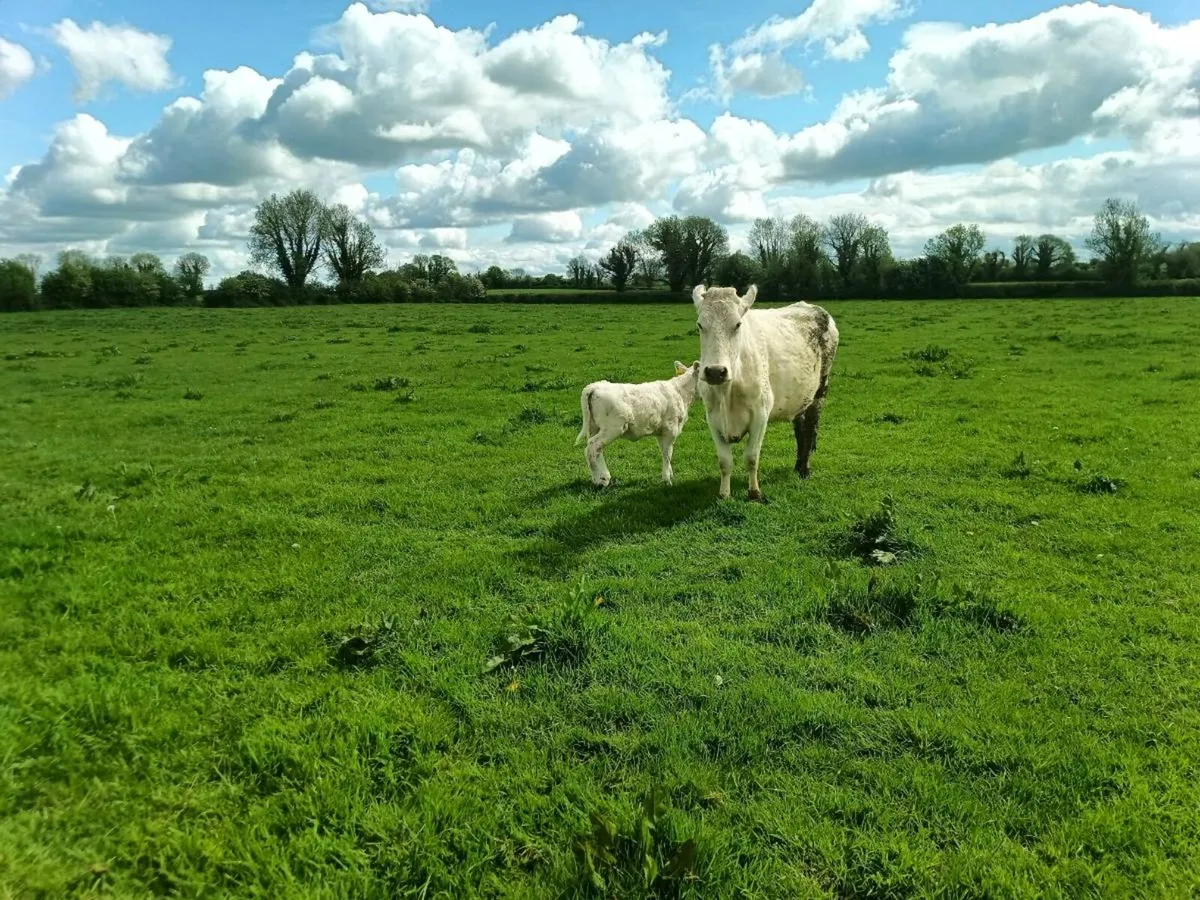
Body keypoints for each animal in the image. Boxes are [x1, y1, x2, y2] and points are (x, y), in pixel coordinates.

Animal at [691, 283, 838, 502]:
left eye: (738, 325)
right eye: (700, 325)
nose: (716, 372)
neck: (728, 391)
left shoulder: (760, 416)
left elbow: (751, 457)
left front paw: (754, 493)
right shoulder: (712, 418)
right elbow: (724, 461)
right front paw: (724, 494)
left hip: (820, 389)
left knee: (811, 427)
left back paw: (805, 468)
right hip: (800, 397)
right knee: (800, 429)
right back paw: (798, 465)